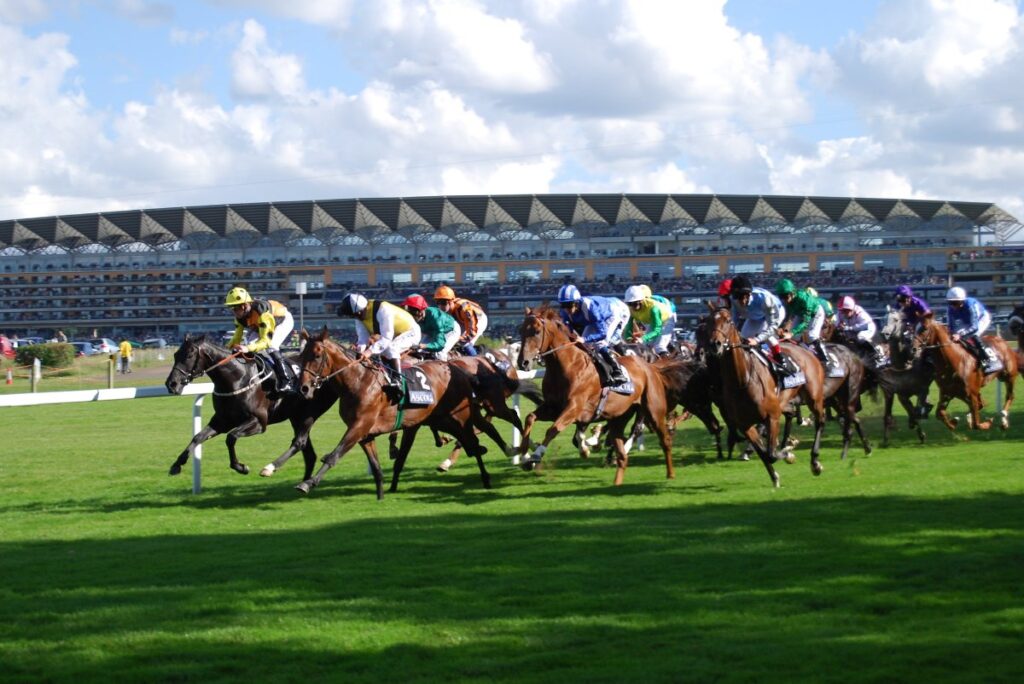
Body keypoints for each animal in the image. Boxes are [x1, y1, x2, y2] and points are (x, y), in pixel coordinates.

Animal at [163, 333, 339, 479]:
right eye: (175, 354)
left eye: (189, 355)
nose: (171, 384)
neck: (237, 378)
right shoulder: (222, 420)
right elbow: (197, 437)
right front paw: (177, 464)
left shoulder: (259, 422)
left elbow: (231, 437)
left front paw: (240, 467)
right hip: (296, 416)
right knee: (308, 453)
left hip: (309, 414)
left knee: (300, 442)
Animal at [294, 327, 489, 493]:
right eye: (302, 355)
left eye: (317, 356)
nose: (303, 388)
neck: (358, 380)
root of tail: (457, 369)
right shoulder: (364, 432)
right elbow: (375, 464)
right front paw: (381, 491)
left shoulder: (359, 425)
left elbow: (335, 454)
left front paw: (308, 483)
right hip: (440, 419)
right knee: (467, 441)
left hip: (460, 416)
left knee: (471, 439)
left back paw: (485, 476)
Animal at [516, 307, 675, 489]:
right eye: (521, 330)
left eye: (536, 331)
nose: (523, 363)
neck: (568, 366)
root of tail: (652, 359)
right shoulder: (553, 407)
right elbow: (530, 418)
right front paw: (524, 455)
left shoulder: (574, 407)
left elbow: (553, 429)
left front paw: (536, 455)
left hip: (644, 407)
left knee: (637, 428)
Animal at [700, 303, 827, 485]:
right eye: (709, 321)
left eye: (729, 321)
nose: (715, 344)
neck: (742, 381)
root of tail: (803, 347)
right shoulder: (745, 425)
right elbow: (764, 453)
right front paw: (775, 476)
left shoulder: (772, 417)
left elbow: (771, 453)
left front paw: (788, 452)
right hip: (785, 401)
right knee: (792, 414)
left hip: (814, 397)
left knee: (820, 421)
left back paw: (815, 461)